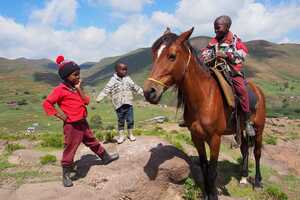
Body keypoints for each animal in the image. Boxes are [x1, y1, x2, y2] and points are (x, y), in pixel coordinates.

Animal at [144, 27, 266, 200]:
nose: (149, 92)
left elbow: (213, 170)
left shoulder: (215, 139)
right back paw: (243, 177)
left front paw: (213, 195)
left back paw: (257, 181)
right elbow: (204, 166)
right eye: (154, 55)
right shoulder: (196, 137)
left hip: (259, 128)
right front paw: (207, 193)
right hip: (241, 129)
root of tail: (258, 91)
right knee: (244, 149)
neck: (203, 97)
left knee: (257, 152)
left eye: (172, 56)